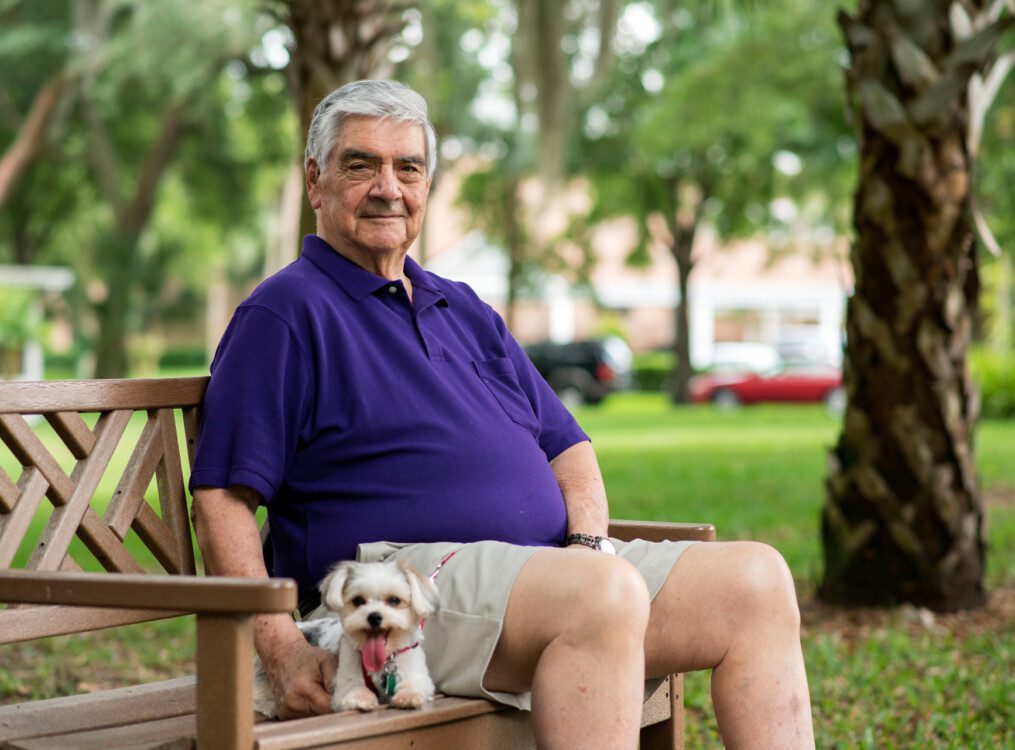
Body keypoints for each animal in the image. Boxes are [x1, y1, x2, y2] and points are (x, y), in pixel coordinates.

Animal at [253, 564, 440, 714]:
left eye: (394, 600)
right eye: (358, 600)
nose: (374, 617)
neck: (384, 659)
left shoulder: (415, 671)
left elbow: (416, 685)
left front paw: (408, 696)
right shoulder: (345, 676)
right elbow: (351, 690)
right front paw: (362, 699)